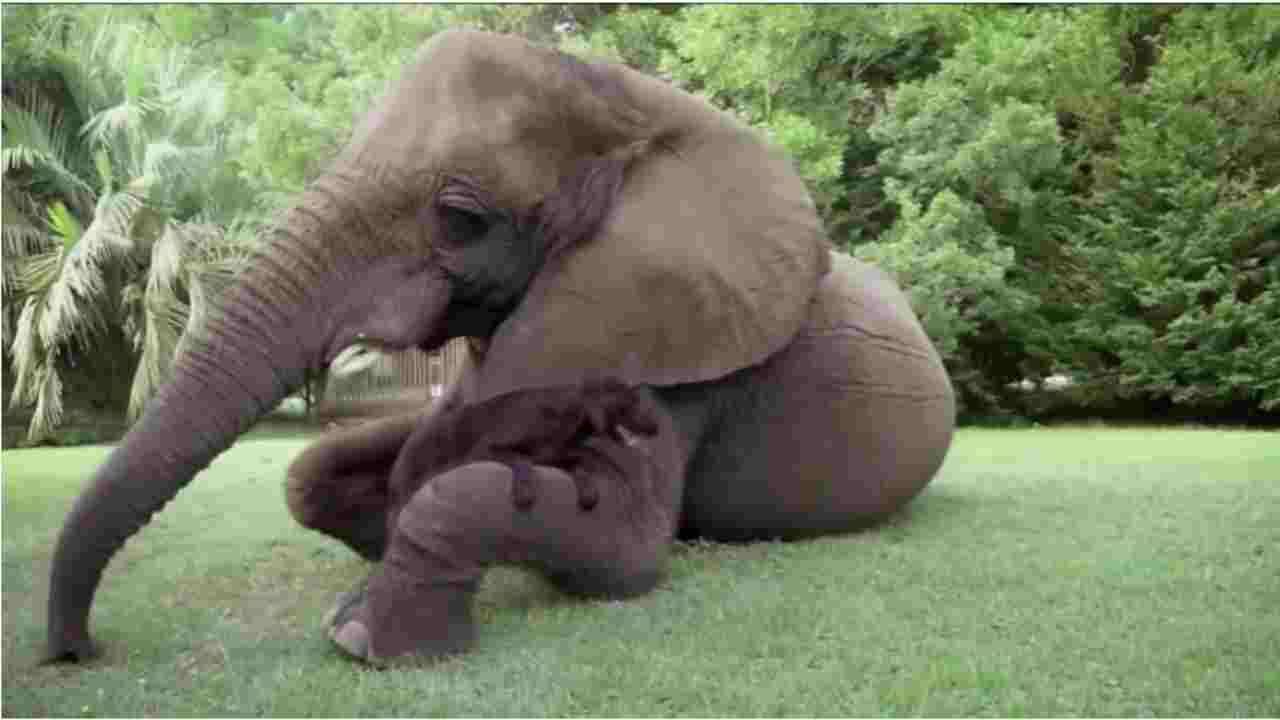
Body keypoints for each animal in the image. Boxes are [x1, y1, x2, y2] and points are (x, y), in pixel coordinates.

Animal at [306, 378, 681, 663]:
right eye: (633, 403)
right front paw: (525, 492)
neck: (566, 416)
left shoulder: (558, 453)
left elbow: (577, 462)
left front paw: (587, 489)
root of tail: (404, 452)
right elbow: (520, 461)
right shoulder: (491, 448)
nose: (658, 426)